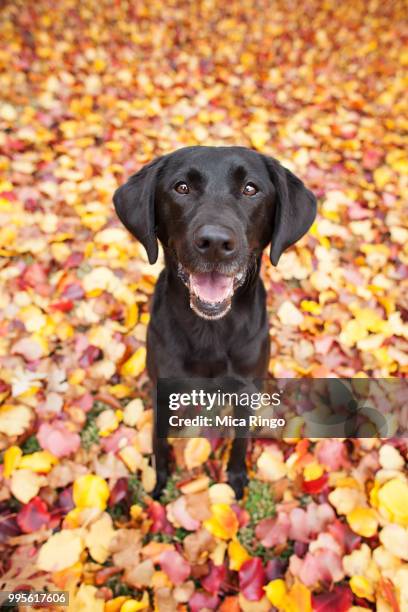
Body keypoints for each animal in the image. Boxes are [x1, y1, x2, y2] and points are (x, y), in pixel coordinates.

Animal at [113, 146, 318, 500]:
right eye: (182, 187)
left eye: (250, 189)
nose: (215, 242)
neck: (210, 330)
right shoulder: (162, 389)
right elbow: (158, 439)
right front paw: (158, 481)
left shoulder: (246, 392)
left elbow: (240, 440)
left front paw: (235, 477)